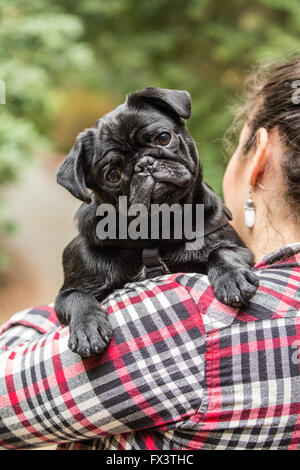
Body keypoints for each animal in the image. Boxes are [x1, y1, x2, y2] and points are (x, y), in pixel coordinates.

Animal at [55, 86, 258, 356]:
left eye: (163, 138)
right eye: (112, 175)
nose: (144, 164)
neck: (156, 228)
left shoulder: (238, 247)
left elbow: (222, 252)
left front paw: (232, 277)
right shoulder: (67, 292)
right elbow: (78, 298)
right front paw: (88, 326)